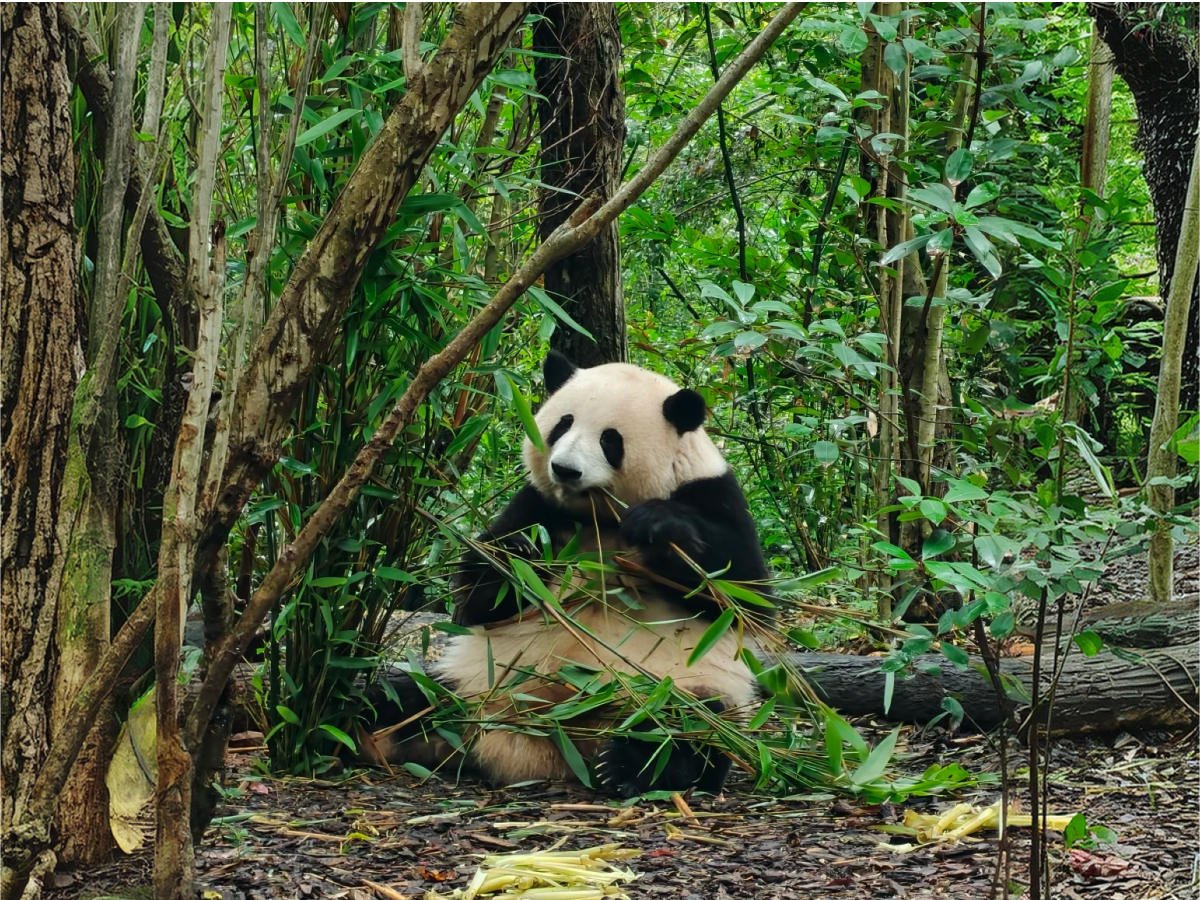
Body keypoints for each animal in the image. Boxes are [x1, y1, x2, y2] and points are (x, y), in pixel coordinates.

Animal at [358, 351, 774, 797]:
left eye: (610, 439)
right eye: (563, 424)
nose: (565, 469)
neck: (599, 517)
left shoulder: (713, 493)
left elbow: (745, 598)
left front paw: (658, 525)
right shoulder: (538, 505)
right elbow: (478, 601)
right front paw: (519, 555)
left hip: (679, 687)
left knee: (694, 730)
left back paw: (626, 766)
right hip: (471, 679)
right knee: (403, 698)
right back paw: (362, 731)